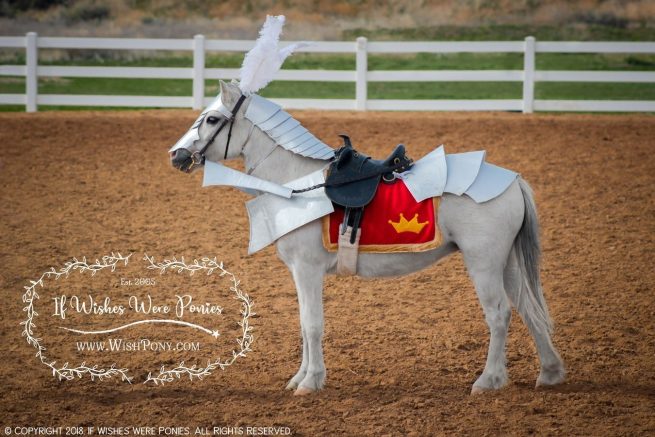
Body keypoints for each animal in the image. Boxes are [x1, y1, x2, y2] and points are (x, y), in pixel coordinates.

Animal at [169, 80, 565, 395]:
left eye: (212, 119)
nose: (177, 155)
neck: (298, 181)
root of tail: (512, 180)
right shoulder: (299, 273)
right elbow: (303, 324)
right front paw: (299, 378)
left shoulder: (308, 270)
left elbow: (312, 325)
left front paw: (311, 382)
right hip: (507, 263)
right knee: (528, 308)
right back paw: (549, 373)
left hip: (483, 263)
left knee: (499, 315)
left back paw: (488, 380)